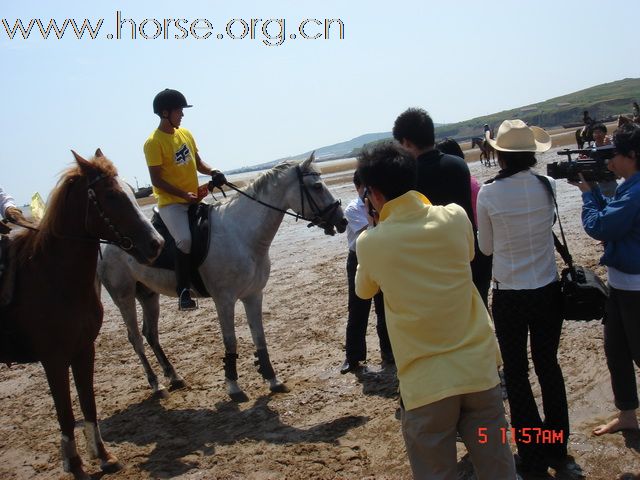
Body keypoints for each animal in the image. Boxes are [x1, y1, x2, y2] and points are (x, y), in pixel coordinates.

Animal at [1, 149, 165, 476]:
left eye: (131, 191)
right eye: (112, 195)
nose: (156, 244)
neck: (51, 278)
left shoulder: (84, 350)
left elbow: (88, 403)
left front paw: (103, 456)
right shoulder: (53, 359)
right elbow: (65, 412)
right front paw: (74, 464)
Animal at [96, 155, 344, 402]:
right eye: (317, 186)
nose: (341, 221)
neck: (242, 235)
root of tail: (108, 242)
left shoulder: (253, 295)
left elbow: (260, 337)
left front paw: (272, 379)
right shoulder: (224, 299)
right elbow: (230, 340)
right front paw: (233, 386)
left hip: (148, 294)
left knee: (151, 334)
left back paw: (174, 377)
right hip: (124, 297)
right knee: (136, 338)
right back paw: (157, 385)